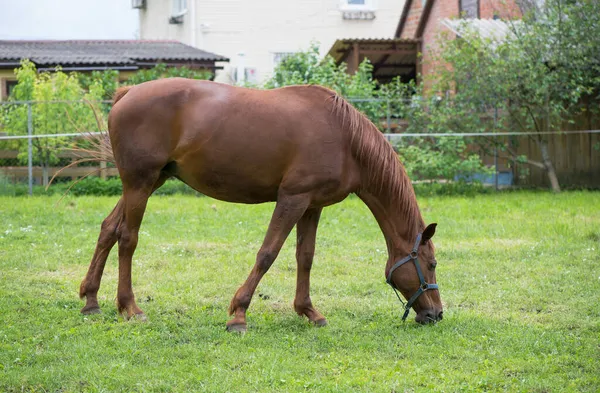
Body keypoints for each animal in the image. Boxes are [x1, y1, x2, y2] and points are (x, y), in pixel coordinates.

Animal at [78, 79, 440, 330]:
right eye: (432, 264)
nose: (436, 313)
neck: (345, 139)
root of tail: (127, 93)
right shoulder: (292, 199)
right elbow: (268, 253)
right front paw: (239, 313)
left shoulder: (312, 206)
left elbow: (305, 258)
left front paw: (309, 312)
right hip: (140, 183)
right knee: (127, 238)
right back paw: (130, 307)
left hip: (149, 182)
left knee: (108, 229)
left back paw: (91, 300)